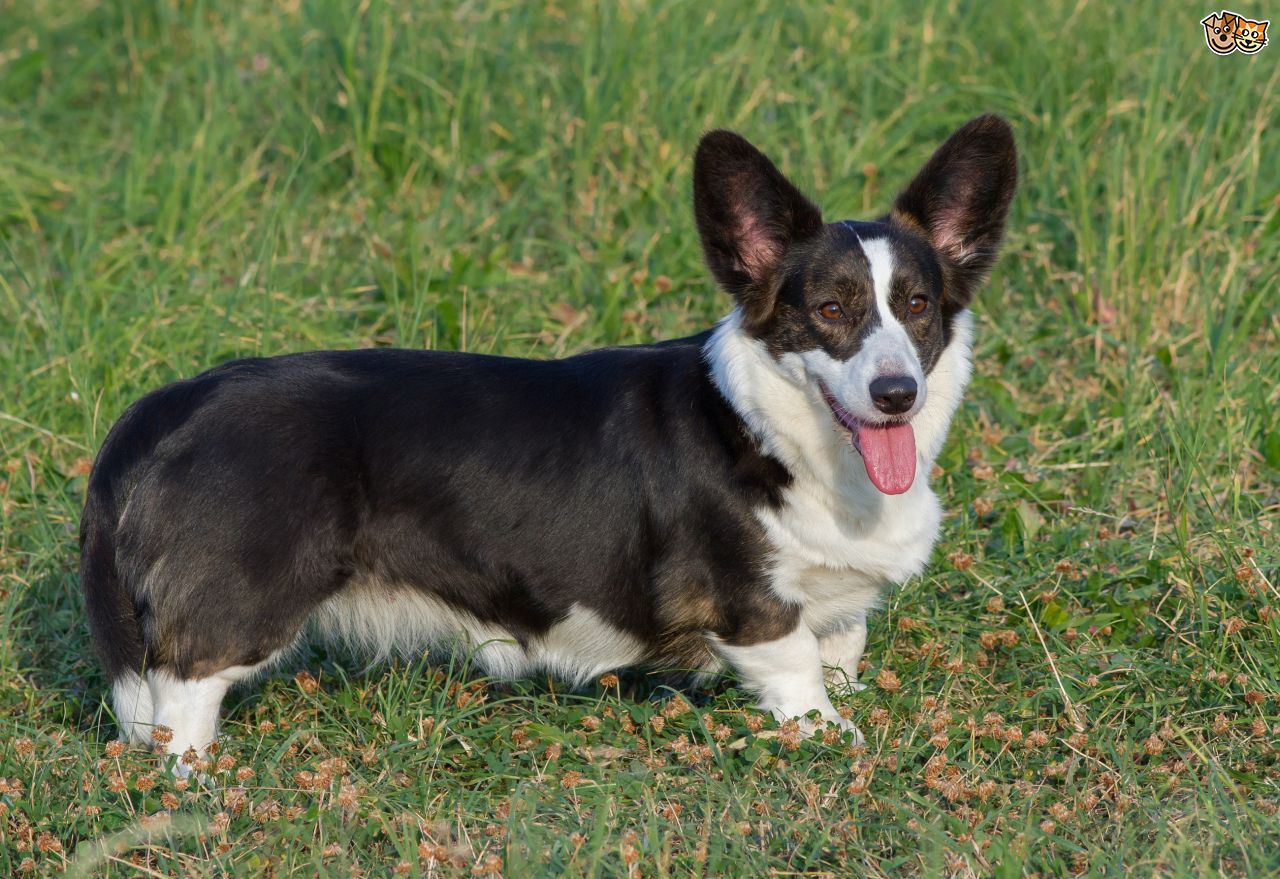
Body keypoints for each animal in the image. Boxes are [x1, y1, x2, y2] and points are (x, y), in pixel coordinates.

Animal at [80, 113, 1018, 767]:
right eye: (829, 309)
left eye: (919, 306)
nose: (897, 394)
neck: (777, 433)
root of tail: (168, 405)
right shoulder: (753, 606)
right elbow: (800, 678)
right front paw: (834, 739)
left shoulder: (838, 605)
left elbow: (841, 648)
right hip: (239, 610)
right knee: (179, 705)